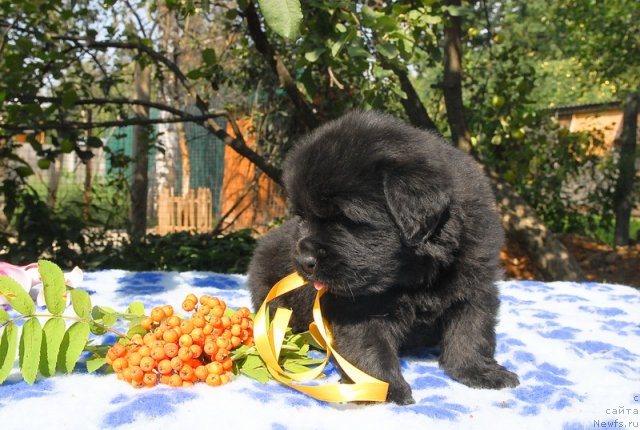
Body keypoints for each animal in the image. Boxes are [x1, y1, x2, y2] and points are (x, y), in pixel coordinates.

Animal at [245, 110, 520, 404]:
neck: (416, 275)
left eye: (345, 219)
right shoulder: (358, 308)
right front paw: (382, 388)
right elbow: (370, 346)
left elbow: (472, 331)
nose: (304, 262)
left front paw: (479, 371)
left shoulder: (476, 284)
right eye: (301, 217)